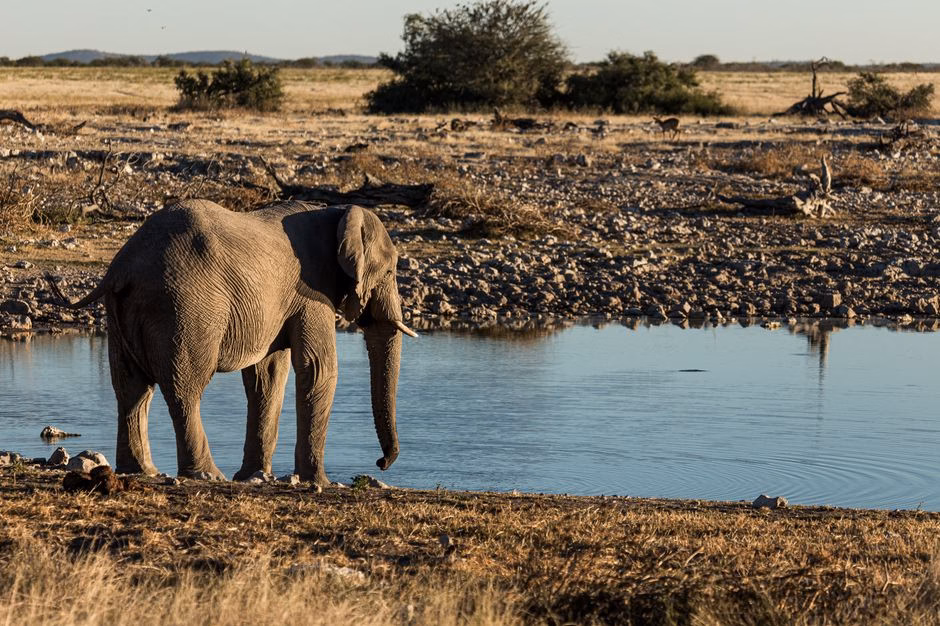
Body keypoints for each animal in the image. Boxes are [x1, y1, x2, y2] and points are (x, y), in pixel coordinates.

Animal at [53, 199, 417, 485]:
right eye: (390, 272)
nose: (381, 464)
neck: (336, 213)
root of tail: (121, 268)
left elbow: (267, 376)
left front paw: (254, 476)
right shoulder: (312, 293)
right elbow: (318, 369)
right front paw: (320, 482)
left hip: (122, 314)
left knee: (131, 389)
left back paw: (143, 472)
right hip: (185, 308)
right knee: (185, 389)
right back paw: (207, 475)